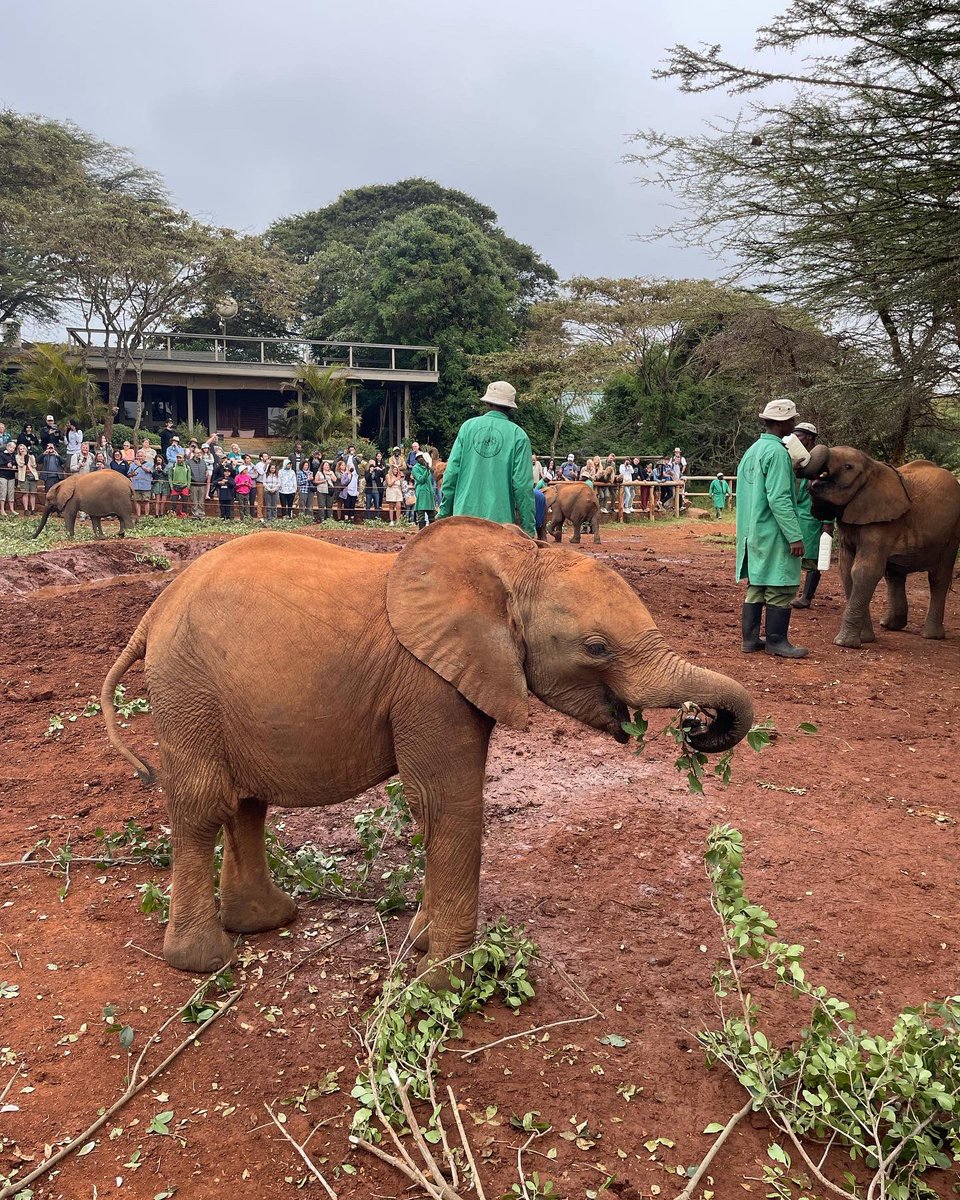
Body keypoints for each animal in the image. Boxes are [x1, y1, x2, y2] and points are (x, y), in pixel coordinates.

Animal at [101, 517, 754, 981]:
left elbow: (443, 809)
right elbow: (446, 804)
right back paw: (206, 962)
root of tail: (154, 610)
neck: (513, 563)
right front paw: (449, 979)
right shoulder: (429, 683)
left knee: (245, 803)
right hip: (186, 688)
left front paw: (420, 942)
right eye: (596, 647)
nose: (695, 726)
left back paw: (266, 922)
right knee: (203, 804)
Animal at [798, 446, 960, 648]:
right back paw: (890, 625)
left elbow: (864, 571)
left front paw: (844, 643)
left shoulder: (881, 522)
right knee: (894, 575)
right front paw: (865, 639)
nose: (801, 460)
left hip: (952, 533)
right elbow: (846, 570)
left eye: (848, 467)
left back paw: (931, 636)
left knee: (938, 577)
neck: (872, 467)